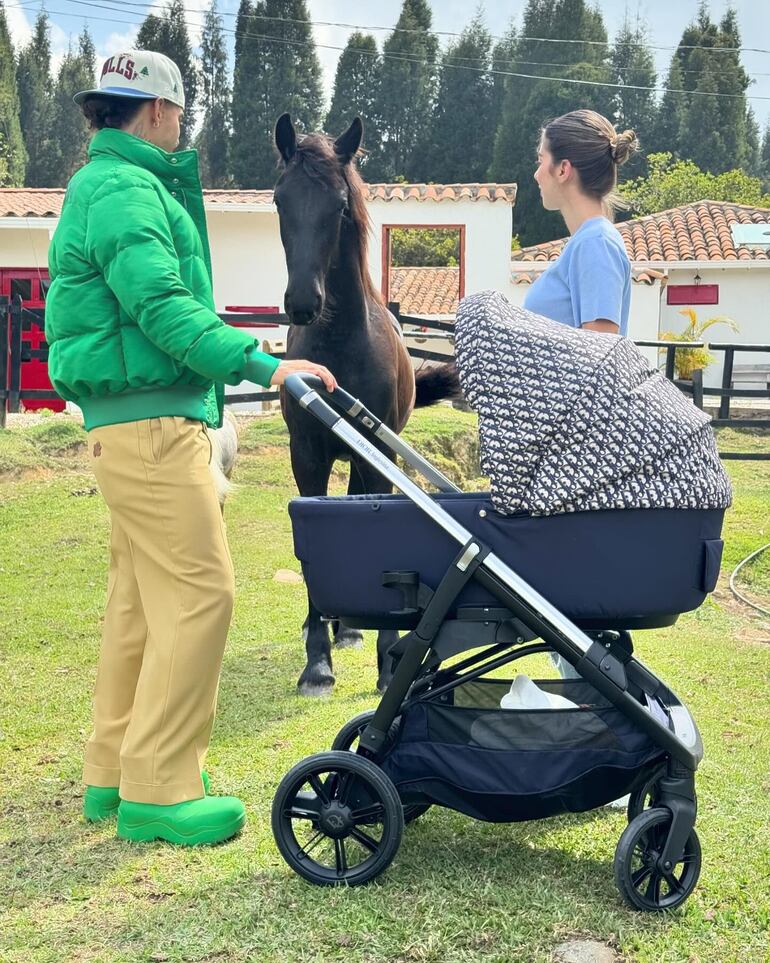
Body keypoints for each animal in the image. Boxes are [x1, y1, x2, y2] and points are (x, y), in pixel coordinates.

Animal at [272, 116, 460, 696]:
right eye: (279, 200)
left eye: (338, 206)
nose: (302, 303)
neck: (340, 345)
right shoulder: (307, 455)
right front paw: (317, 663)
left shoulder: (380, 455)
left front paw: (386, 663)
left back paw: (354, 628)